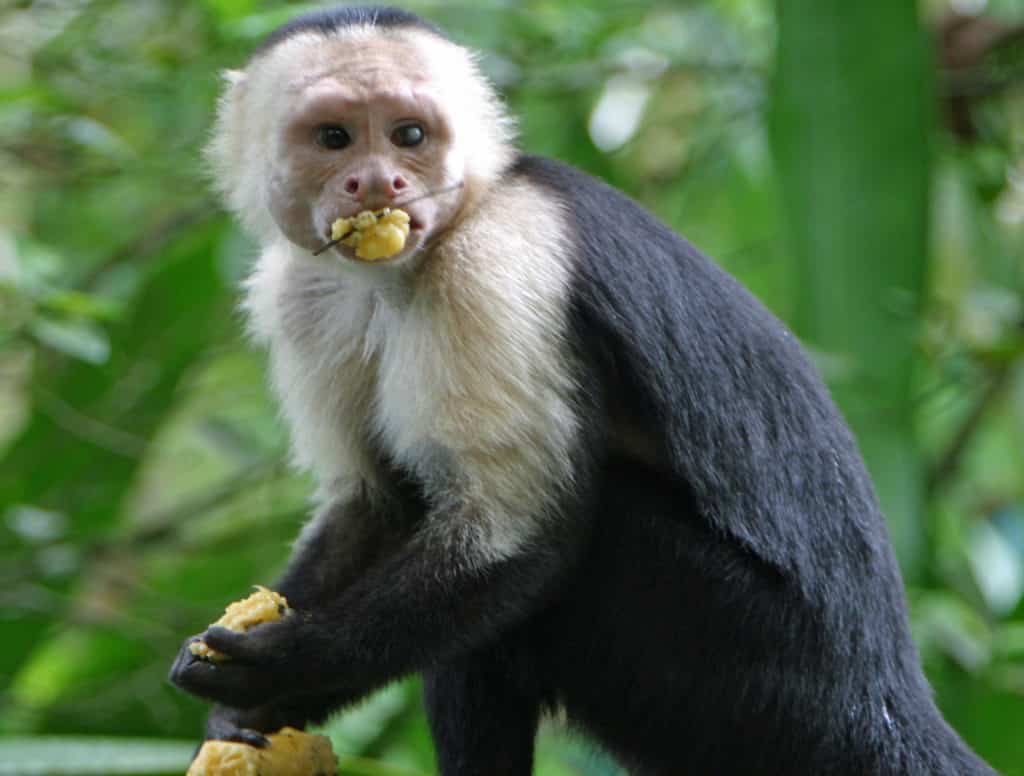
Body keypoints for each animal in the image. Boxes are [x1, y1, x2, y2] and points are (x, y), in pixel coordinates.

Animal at [172, 6, 995, 776]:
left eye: (409, 135)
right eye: (335, 137)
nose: (379, 184)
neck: (404, 269)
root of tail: (888, 696)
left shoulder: (494, 267)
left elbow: (516, 534)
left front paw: (289, 661)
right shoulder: (299, 294)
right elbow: (375, 503)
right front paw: (249, 712)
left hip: (771, 685)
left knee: (578, 548)